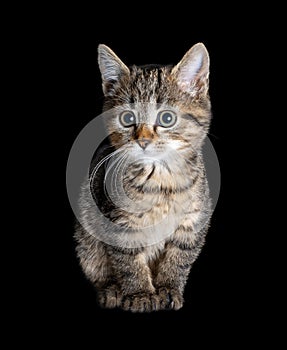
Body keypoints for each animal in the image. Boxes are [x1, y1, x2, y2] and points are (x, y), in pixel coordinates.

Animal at [75, 42, 214, 314]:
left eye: (167, 118)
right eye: (128, 118)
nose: (143, 140)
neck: (161, 180)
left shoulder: (193, 222)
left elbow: (179, 259)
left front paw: (168, 289)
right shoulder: (117, 222)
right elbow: (129, 262)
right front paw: (140, 294)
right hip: (86, 236)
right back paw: (112, 290)